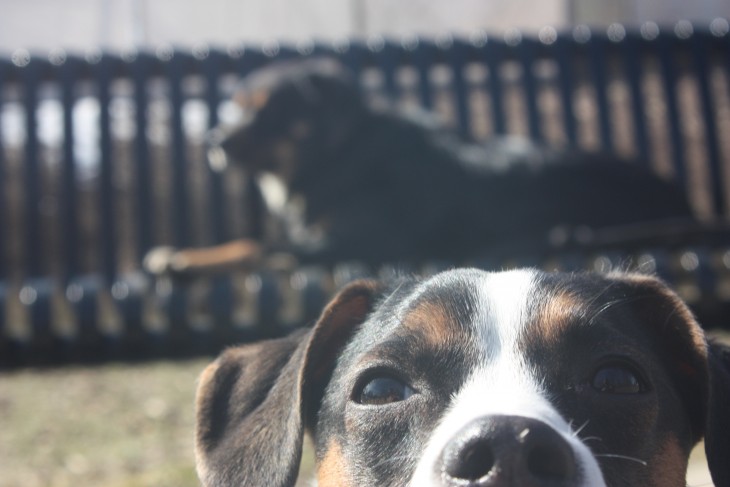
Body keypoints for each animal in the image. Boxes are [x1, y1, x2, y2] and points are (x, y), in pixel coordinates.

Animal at [145, 57, 692, 276]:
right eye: (236, 107)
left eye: (267, 111)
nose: (212, 140)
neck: (337, 158)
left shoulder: (350, 241)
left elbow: (256, 244)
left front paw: (183, 258)